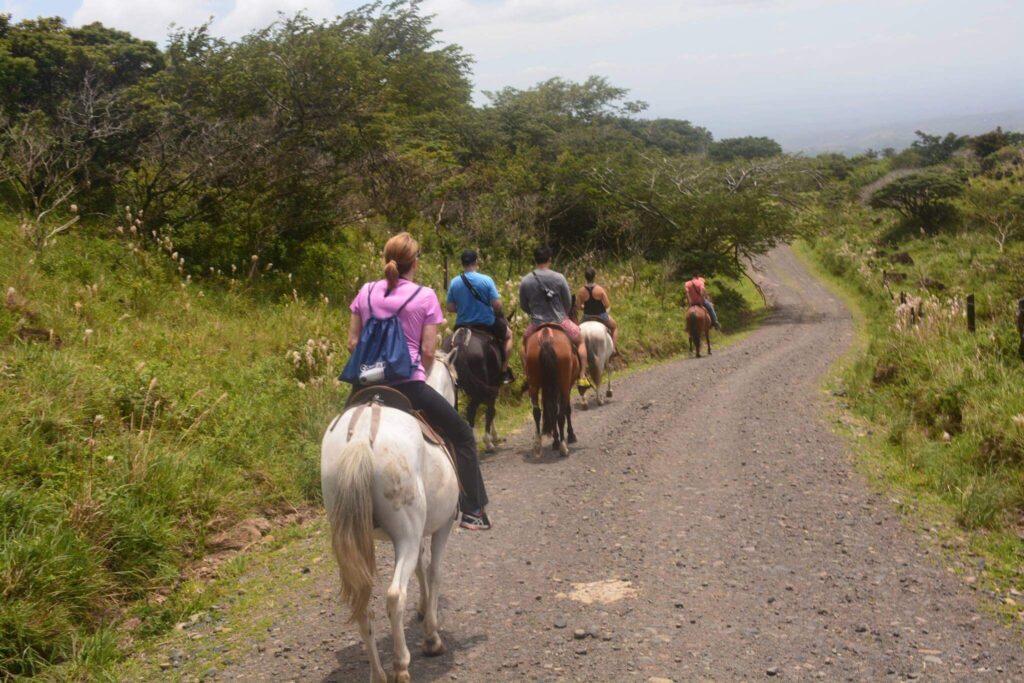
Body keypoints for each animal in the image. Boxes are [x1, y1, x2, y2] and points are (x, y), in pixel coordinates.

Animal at [321, 356, 458, 683]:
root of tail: (360, 437)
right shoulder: (443, 525)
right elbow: (434, 571)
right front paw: (431, 635)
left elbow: (421, 566)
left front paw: (422, 609)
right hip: (405, 534)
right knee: (395, 595)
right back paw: (401, 664)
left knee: (362, 603)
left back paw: (378, 673)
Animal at [524, 327, 581, 456]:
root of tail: (546, 337)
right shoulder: (567, 386)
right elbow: (567, 410)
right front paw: (571, 435)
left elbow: (552, 412)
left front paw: (555, 440)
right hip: (564, 385)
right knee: (561, 415)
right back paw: (563, 446)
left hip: (533, 384)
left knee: (537, 412)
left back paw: (538, 444)